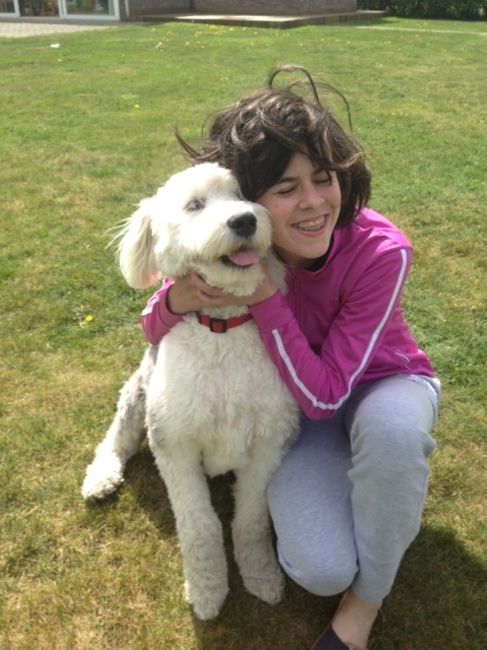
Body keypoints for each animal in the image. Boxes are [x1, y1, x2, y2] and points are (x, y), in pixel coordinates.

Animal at [81, 163, 300, 620]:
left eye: (242, 194)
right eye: (195, 205)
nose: (244, 220)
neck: (223, 328)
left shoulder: (270, 441)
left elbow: (251, 520)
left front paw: (261, 576)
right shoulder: (175, 442)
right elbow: (199, 525)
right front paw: (207, 591)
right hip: (140, 391)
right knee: (116, 438)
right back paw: (100, 478)